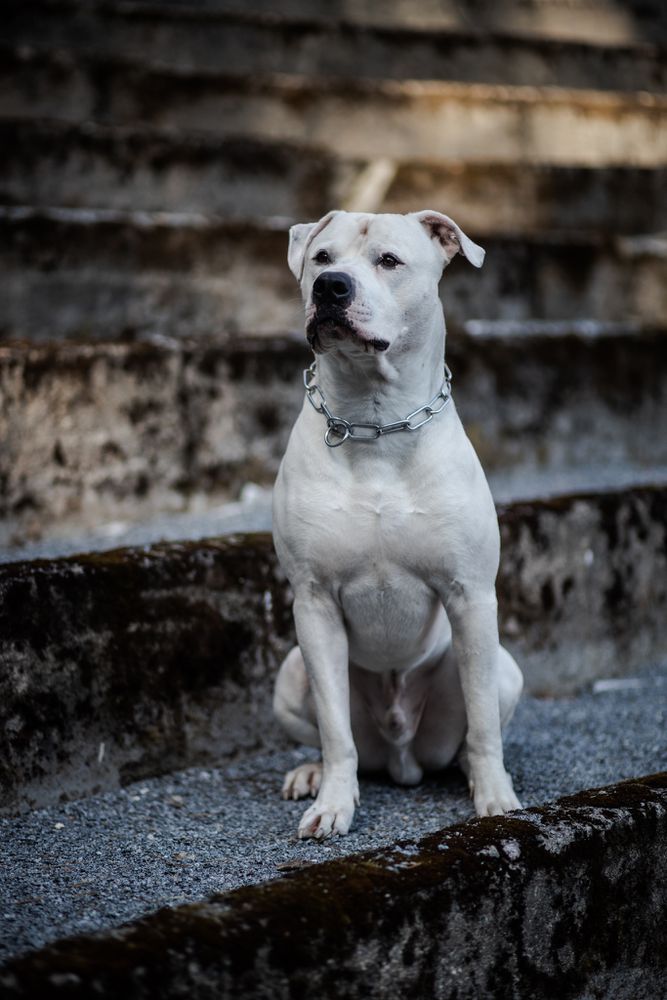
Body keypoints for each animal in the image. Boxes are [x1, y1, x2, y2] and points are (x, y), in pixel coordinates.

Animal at [272, 213, 520, 844]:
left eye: (389, 260)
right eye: (321, 257)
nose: (331, 287)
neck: (374, 422)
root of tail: (403, 756)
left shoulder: (472, 596)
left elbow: (484, 723)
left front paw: (497, 799)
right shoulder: (313, 601)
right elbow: (335, 730)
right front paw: (334, 803)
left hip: (503, 669)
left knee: (473, 727)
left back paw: (468, 770)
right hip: (290, 675)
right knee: (336, 735)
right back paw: (312, 772)